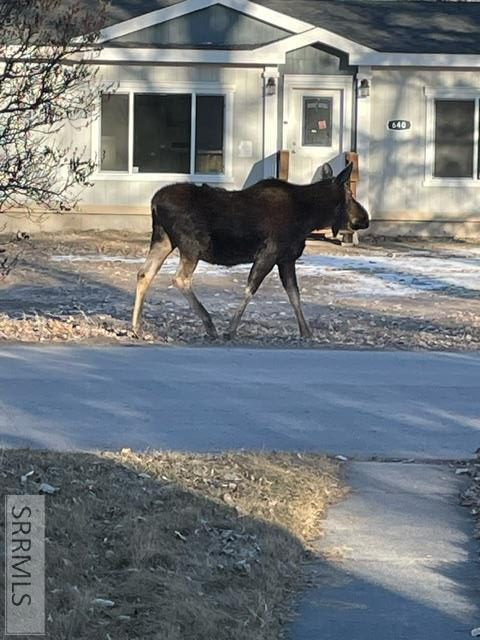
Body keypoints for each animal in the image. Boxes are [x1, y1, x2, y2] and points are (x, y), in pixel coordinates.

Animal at [133, 161, 370, 340]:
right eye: (349, 194)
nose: (365, 218)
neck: (308, 218)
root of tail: (154, 203)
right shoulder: (270, 252)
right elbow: (251, 288)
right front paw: (230, 329)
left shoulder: (286, 258)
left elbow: (294, 294)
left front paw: (306, 332)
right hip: (191, 245)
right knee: (180, 278)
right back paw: (209, 324)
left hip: (163, 239)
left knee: (145, 273)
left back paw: (136, 327)